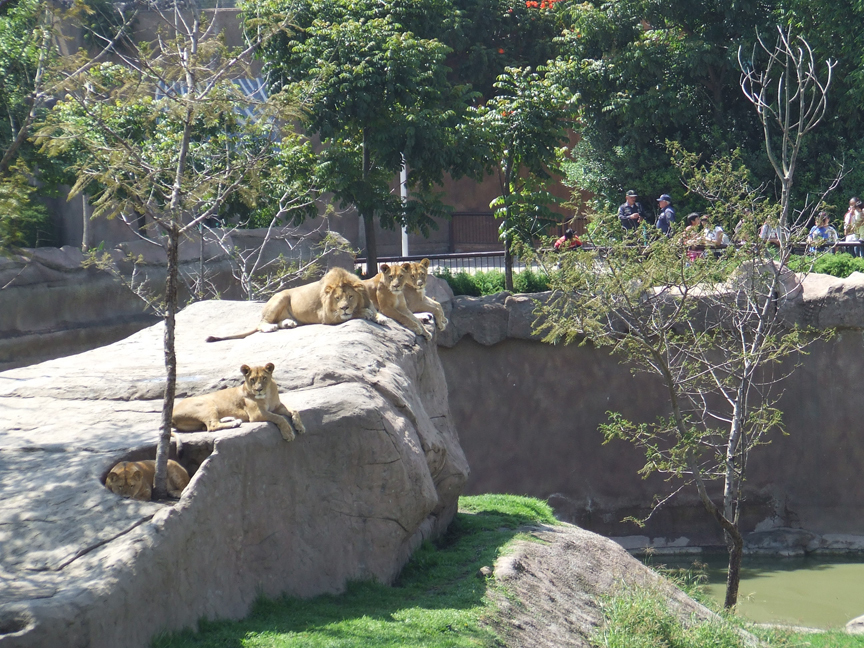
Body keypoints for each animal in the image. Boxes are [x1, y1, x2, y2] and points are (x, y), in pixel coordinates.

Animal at [170, 362, 306, 442]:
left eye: (264, 378)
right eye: (252, 379)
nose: (258, 389)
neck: (267, 394)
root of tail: (171, 413)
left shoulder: (277, 406)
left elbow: (294, 411)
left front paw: (300, 427)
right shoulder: (257, 414)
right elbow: (279, 418)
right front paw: (288, 434)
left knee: (207, 426)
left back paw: (232, 419)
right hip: (206, 404)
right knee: (212, 426)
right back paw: (235, 423)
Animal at [208, 266, 376, 342]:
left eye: (350, 297)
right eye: (337, 298)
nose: (344, 307)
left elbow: (374, 311)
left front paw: (376, 316)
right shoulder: (327, 316)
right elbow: (353, 314)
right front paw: (365, 313)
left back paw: (288, 323)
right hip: (281, 297)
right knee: (262, 323)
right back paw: (270, 327)